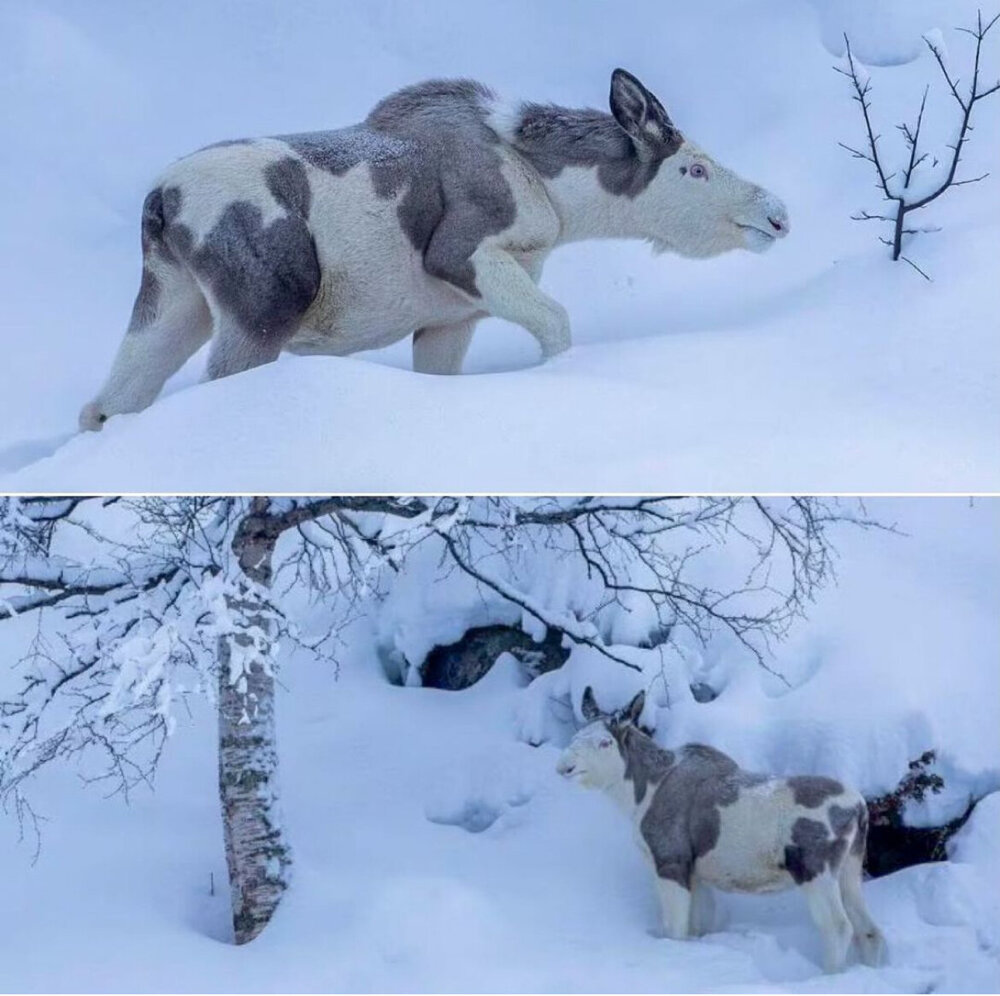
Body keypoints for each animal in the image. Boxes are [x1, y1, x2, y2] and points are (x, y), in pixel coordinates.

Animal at [80, 70, 788, 428]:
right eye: (693, 169)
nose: (776, 214)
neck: (562, 200)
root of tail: (160, 203)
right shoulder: (462, 256)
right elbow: (557, 327)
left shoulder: (448, 320)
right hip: (265, 308)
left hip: (173, 305)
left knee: (106, 406)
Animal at [560, 688, 888, 976]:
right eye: (576, 735)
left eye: (605, 742)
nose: (564, 766)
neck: (635, 796)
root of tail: (859, 808)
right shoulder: (695, 871)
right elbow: (697, 927)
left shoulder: (670, 861)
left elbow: (675, 929)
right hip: (850, 867)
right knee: (870, 929)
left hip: (815, 870)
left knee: (838, 926)